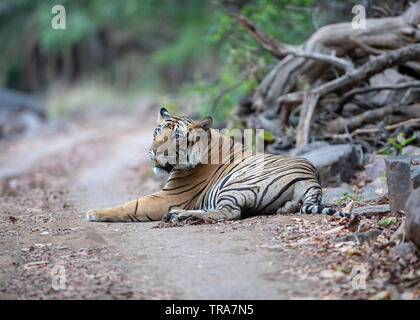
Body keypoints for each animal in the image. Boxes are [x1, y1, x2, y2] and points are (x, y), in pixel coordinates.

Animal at [86, 107, 364, 225]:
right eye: (157, 131)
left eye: (175, 136)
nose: (153, 151)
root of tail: (313, 178)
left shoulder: (168, 197)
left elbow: (129, 205)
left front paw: (95, 212)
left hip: (236, 183)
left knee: (229, 213)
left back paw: (179, 215)